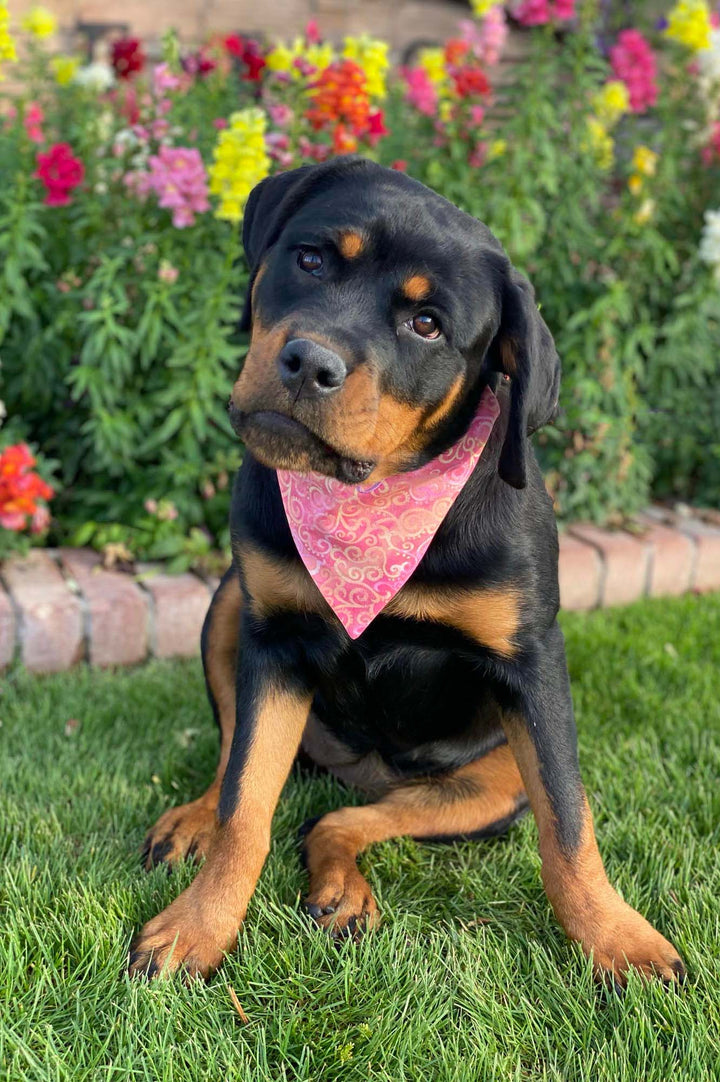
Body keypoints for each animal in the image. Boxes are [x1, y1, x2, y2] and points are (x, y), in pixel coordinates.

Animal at [129, 157, 684, 991]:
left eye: (427, 324)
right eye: (311, 259)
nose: (309, 362)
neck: (376, 496)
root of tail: (359, 771)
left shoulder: (532, 664)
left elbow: (569, 825)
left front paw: (617, 938)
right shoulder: (275, 641)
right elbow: (244, 807)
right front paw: (196, 926)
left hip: (488, 784)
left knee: (338, 820)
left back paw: (342, 891)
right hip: (229, 603)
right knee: (237, 762)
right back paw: (200, 821)